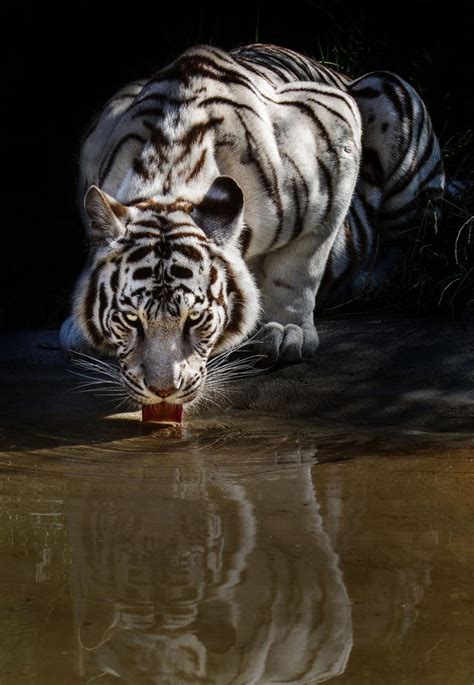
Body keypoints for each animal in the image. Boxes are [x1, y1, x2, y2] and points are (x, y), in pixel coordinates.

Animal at [60, 44, 444, 406]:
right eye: (131, 320)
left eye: (194, 319)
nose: (163, 390)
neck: (170, 173)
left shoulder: (336, 132)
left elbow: (300, 266)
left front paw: (287, 331)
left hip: (391, 100)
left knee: (403, 242)